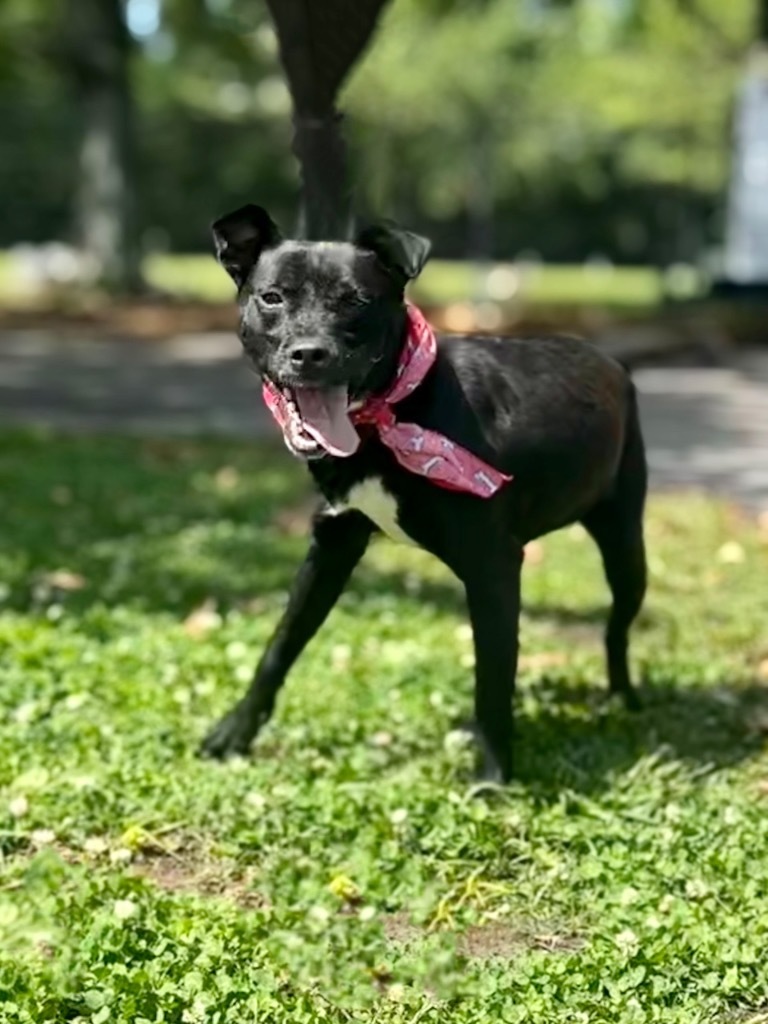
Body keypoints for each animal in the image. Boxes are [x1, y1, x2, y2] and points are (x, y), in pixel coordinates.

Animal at [199, 205, 651, 782]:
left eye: (356, 300)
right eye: (273, 297)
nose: (310, 354)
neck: (388, 415)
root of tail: (612, 360)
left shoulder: (492, 566)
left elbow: (492, 681)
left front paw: (493, 778)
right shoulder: (333, 543)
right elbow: (280, 645)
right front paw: (235, 731)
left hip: (625, 544)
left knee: (616, 628)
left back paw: (623, 698)